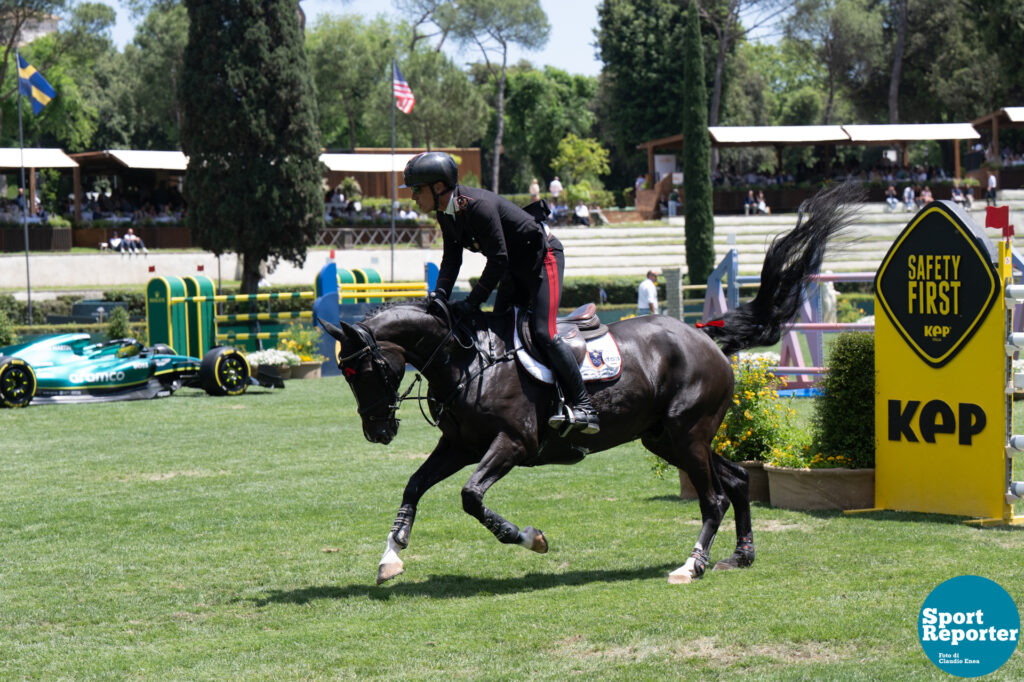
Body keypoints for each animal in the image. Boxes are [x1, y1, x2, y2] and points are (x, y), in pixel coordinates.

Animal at [321, 183, 864, 581]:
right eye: (345, 374)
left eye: (366, 370)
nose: (377, 432)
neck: (467, 361)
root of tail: (702, 335)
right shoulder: (460, 444)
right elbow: (415, 484)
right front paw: (392, 555)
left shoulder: (513, 442)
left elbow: (471, 496)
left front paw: (530, 538)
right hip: (666, 437)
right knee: (736, 480)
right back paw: (740, 556)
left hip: (687, 431)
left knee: (714, 497)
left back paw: (690, 566)